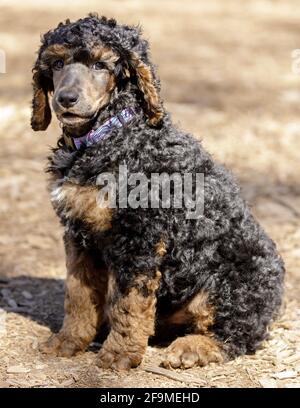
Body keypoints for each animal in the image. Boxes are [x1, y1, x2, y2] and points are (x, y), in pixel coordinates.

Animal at [31, 14, 286, 370]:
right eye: (56, 64)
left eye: (100, 65)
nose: (66, 99)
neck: (108, 136)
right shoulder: (78, 234)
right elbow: (78, 294)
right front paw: (68, 341)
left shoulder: (140, 238)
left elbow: (129, 302)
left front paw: (119, 354)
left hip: (235, 282)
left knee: (237, 333)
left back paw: (192, 348)